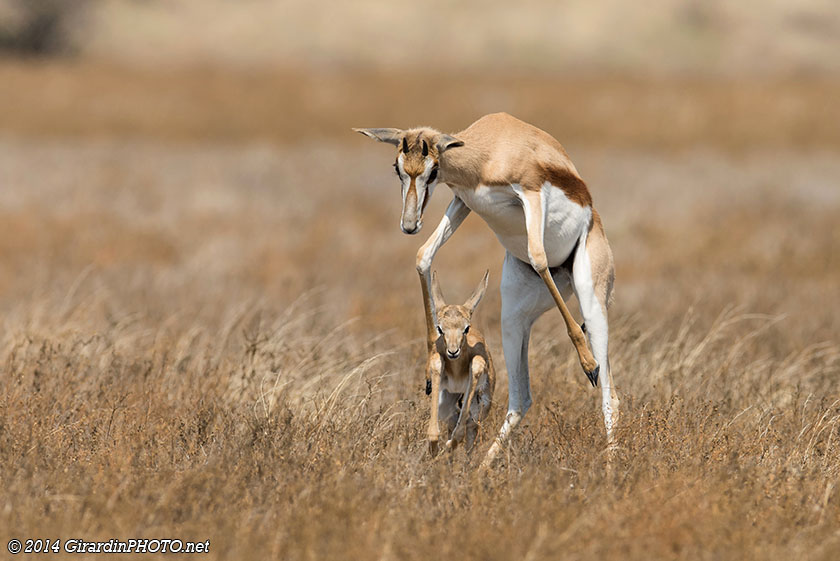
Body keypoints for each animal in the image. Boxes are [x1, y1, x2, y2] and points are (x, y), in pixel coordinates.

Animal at [425, 270, 496, 455]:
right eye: (440, 328)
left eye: (466, 328)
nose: (453, 351)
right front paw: (435, 450)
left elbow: (476, 365)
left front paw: (449, 445)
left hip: (475, 422)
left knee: (468, 444)